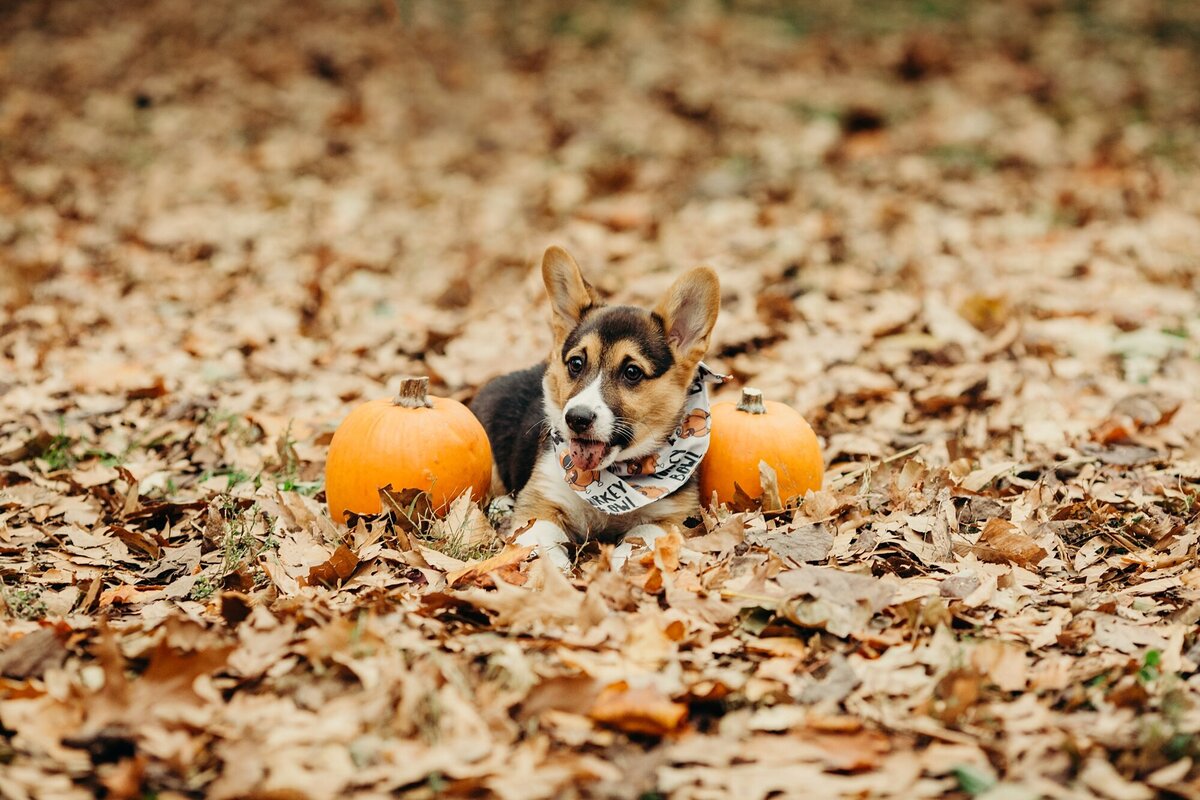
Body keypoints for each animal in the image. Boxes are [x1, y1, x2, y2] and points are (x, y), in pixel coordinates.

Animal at [468, 245, 715, 568]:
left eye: (632, 372)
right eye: (576, 363)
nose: (577, 418)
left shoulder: (672, 518)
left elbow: (641, 538)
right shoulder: (542, 501)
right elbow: (542, 541)